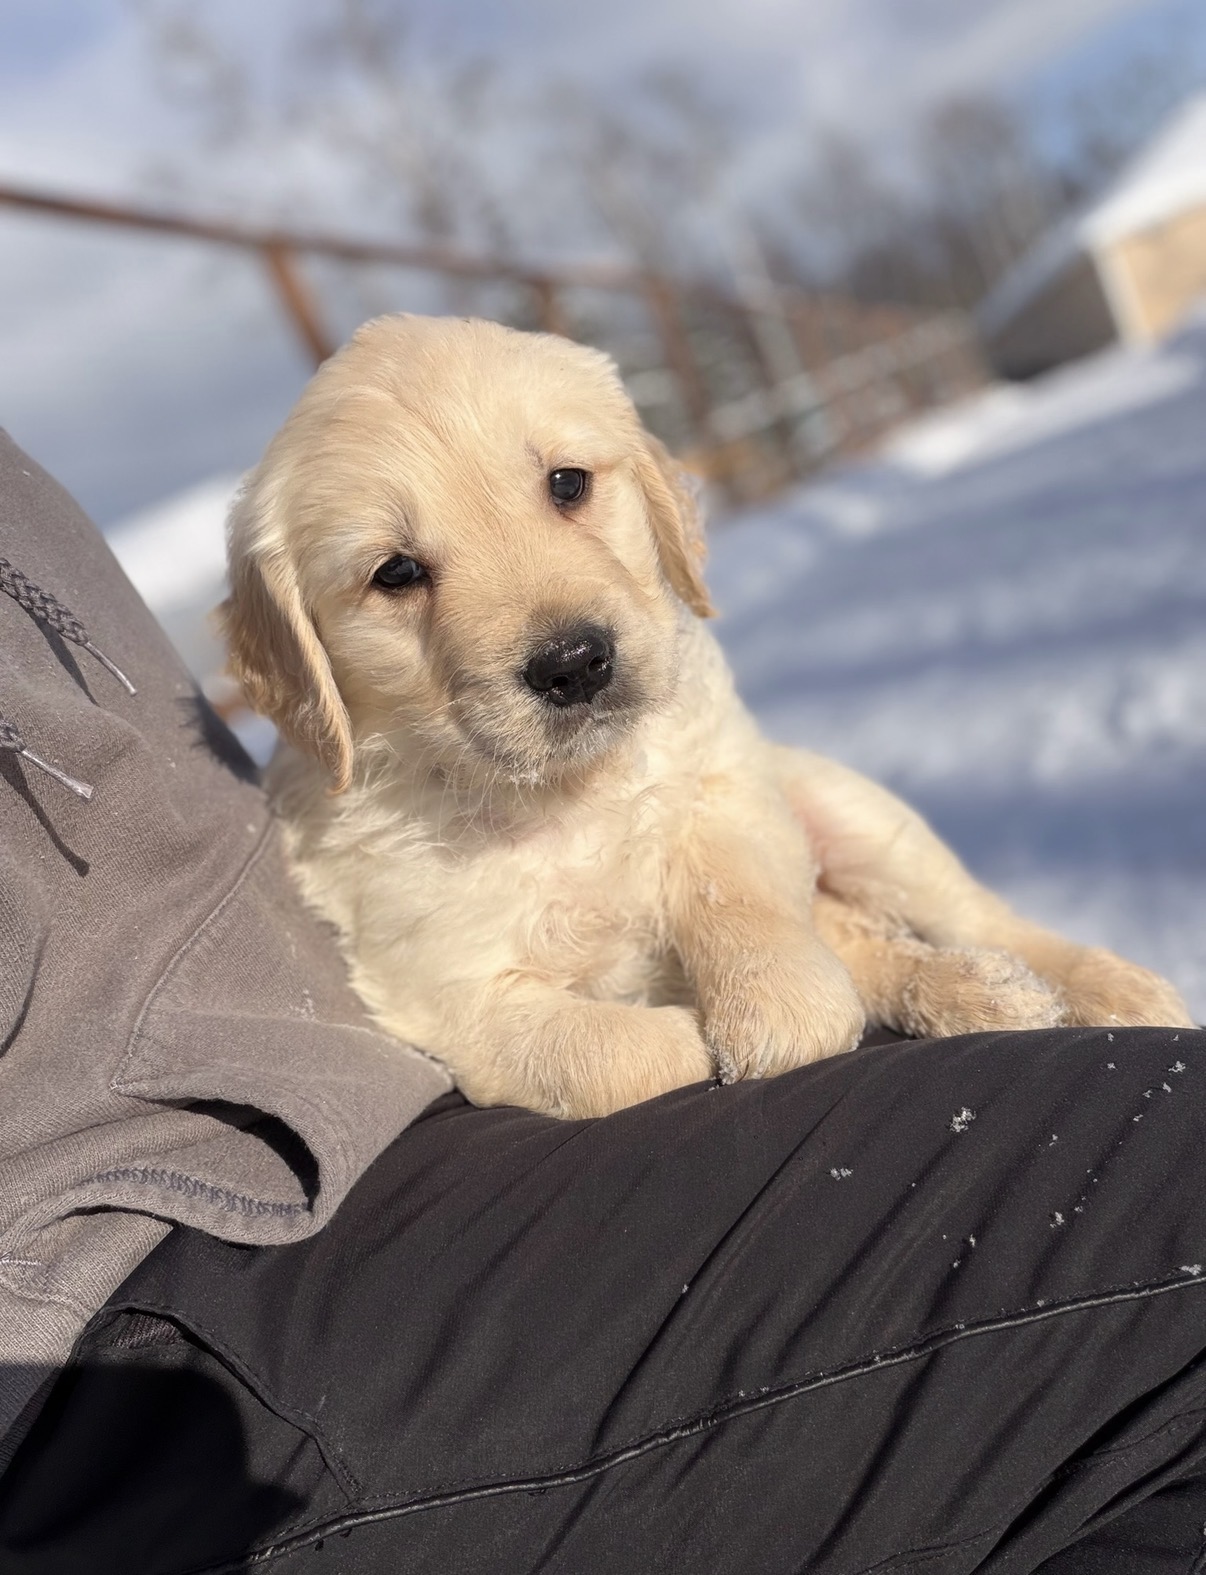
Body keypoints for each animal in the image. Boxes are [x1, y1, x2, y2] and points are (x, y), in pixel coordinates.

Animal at [221, 314, 1194, 1118]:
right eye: (395, 572)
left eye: (567, 483)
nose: (574, 663)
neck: (562, 794)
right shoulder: (442, 991)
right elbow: (613, 1054)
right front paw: (695, 1034)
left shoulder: (723, 778)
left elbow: (739, 892)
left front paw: (774, 1015)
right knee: (872, 939)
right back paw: (982, 991)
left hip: (854, 809)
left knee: (974, 914)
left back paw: (1096, 984)